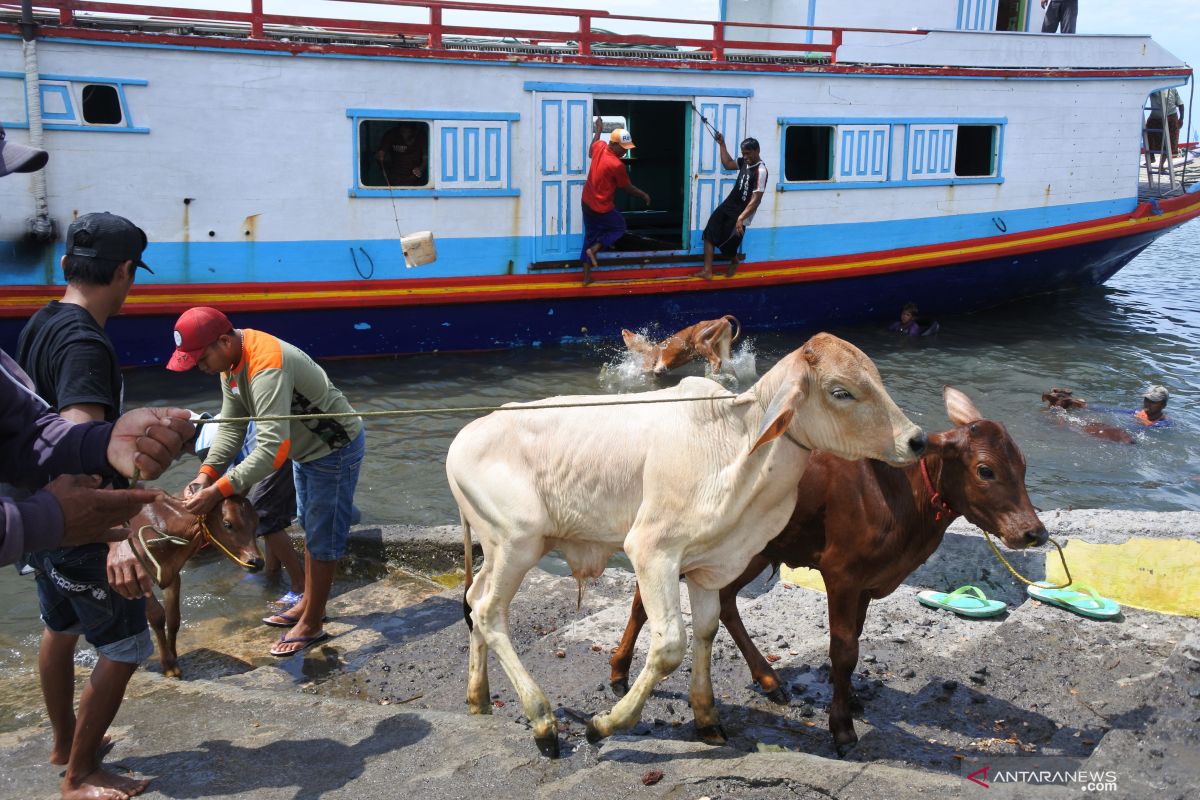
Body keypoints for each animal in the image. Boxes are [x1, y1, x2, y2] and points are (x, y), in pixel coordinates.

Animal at [132, 491, 262, 681]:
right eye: (227, 524)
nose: (257, 562)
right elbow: (157, 617)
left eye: (257, 520)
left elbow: (173, 618)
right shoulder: (139, 579)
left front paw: (174, 656)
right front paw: (169, 666)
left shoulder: (173, 575)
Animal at [446, 331, 921, 758]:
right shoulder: (651, 552)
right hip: (518, 541)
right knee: (488, 611)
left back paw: (478, 699)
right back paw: (542, 722)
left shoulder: (709, 567)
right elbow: (670, 645)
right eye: (841, 392)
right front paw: (605, 724)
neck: (737, 445)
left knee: (474, 599)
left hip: (502, 546)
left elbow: (707, 631)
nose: (916, 439)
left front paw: (707, 718)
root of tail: (466, 435)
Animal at [609, 388, 1041, 758]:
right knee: (644, 600)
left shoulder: (866, 582)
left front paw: (849, 697)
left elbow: (856, 640)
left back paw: (768, 679)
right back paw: (619, 672)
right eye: (985, 470)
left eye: (1023, 465)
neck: (903, 496)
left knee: (724, 601)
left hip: (752, 551)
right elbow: (844, 650)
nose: (1034, 532)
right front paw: (842, 727)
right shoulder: (842, 574)